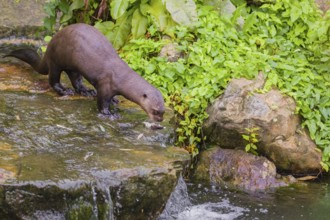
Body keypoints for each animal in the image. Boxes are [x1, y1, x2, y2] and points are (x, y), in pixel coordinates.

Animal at [4, 24, 164, 122]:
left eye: (163, 111)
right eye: (156, 111)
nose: (160, 121)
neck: (122, 77)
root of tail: (49, 47)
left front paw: (114, 101)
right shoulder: (105, 84)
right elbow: (102, 103)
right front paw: (110, 114)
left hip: (74, 67)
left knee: (76, 80)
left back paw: (87, 91)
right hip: (56, 61)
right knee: (53, 80)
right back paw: (65, 91)